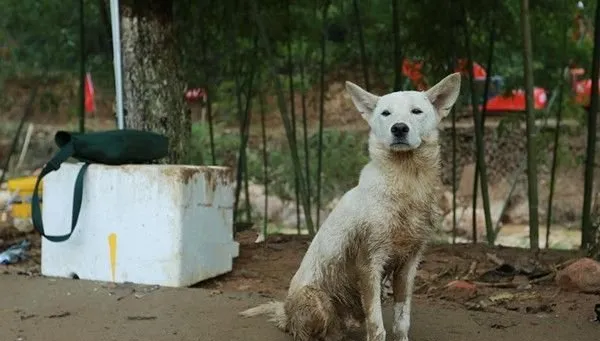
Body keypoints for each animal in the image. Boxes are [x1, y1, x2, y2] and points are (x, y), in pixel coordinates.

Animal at [239, 72, 460, 340]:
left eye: (416, 111)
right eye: (386, 113)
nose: (399, 128)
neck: (407, 183)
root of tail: (286, 313)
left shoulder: (408, 264)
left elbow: (401, 322)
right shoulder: (369, 264)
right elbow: (377, 328)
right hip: (318, 304)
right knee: (311, 334)